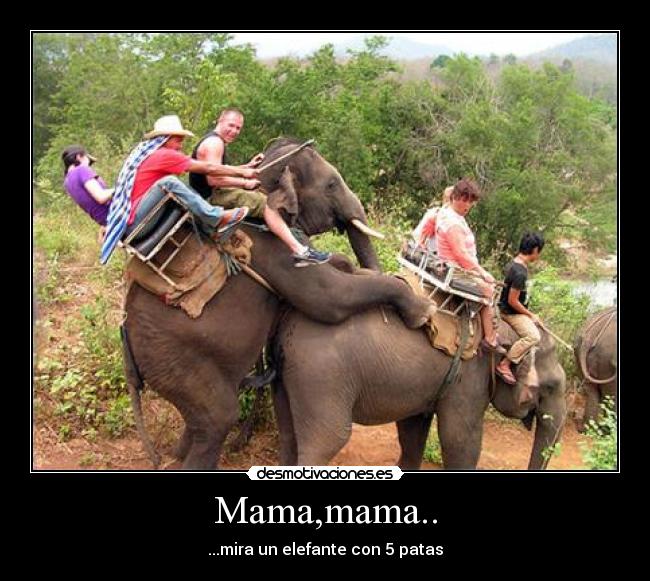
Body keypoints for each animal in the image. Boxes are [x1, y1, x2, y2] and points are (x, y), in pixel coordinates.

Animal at [123, 138, 436, 470]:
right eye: (331, 184)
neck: (265, 178)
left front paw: (344, 263)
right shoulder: (274, 248)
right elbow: (327, 297)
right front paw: (423, 312)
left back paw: (176, 456)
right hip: (175, 359)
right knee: (217, 419)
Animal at [271, 295, 567, 470]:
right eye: (550, 387)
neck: (502, 327)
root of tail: (287, 322)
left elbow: (412, 431)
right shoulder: (469, 381)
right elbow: (460, 440)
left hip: (292, 375)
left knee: (288, 433)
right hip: (323, 377)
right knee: (328, 439)